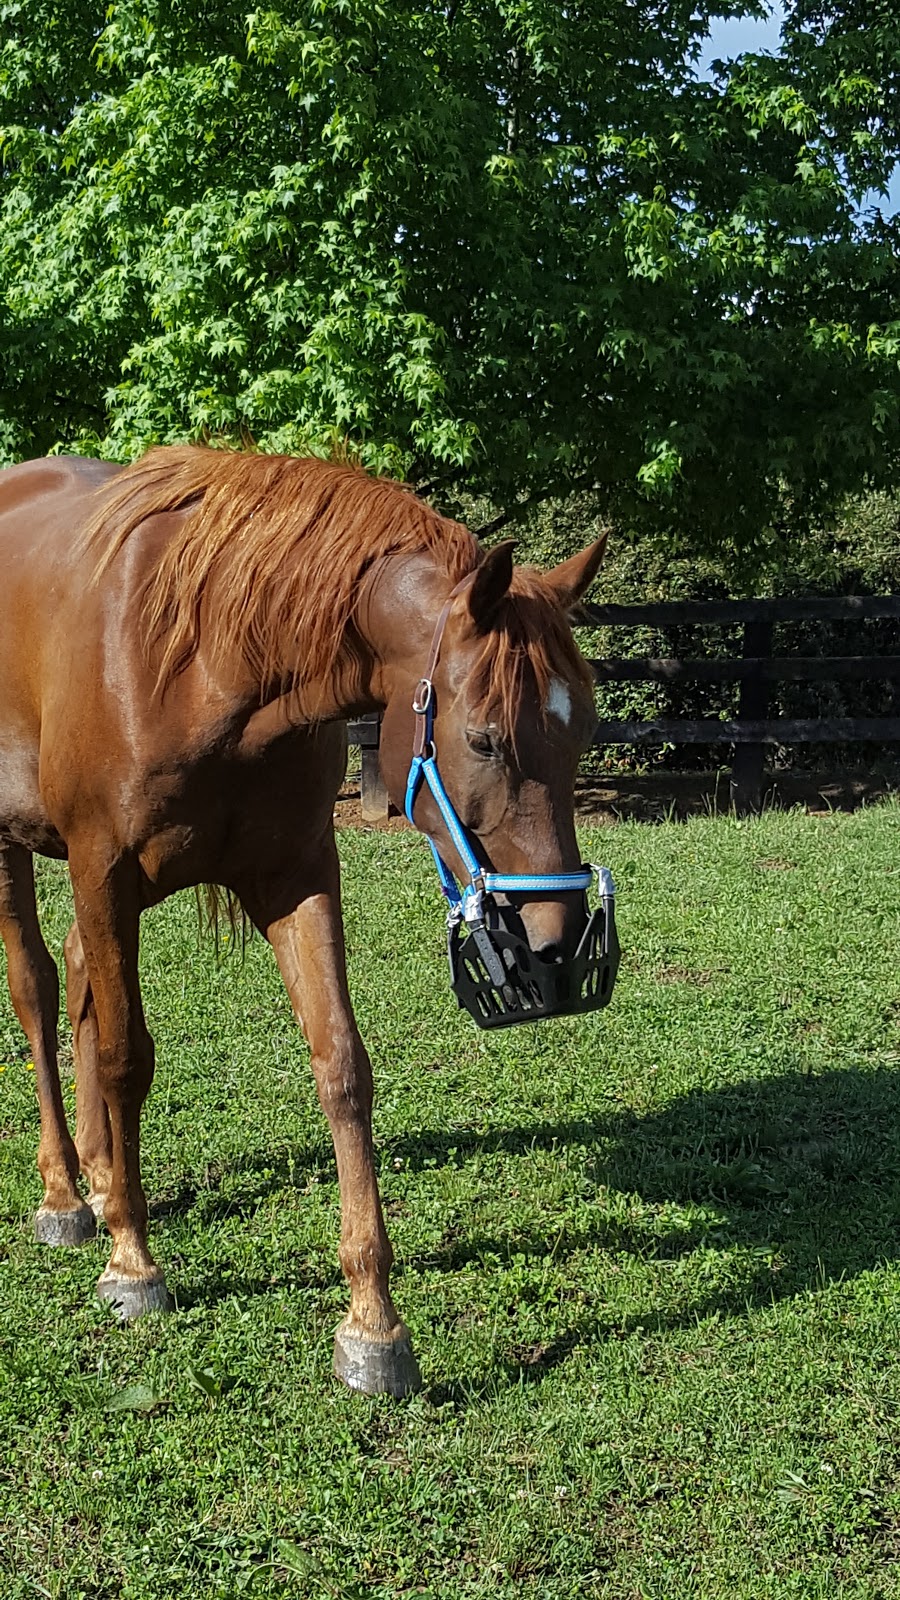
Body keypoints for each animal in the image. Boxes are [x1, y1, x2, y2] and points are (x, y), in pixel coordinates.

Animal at [0, 446, 605, 1396]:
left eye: (581, 736)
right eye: (485, 740)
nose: (557, 950)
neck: (204, 659)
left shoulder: (298, 879)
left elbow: (342, 1066)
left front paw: (373, 1324)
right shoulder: (102, 869)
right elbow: (126, 1056)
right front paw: (134, 1262)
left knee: (81, 980)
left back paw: (100, 1178)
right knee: (37, 985)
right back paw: (67, 1194)